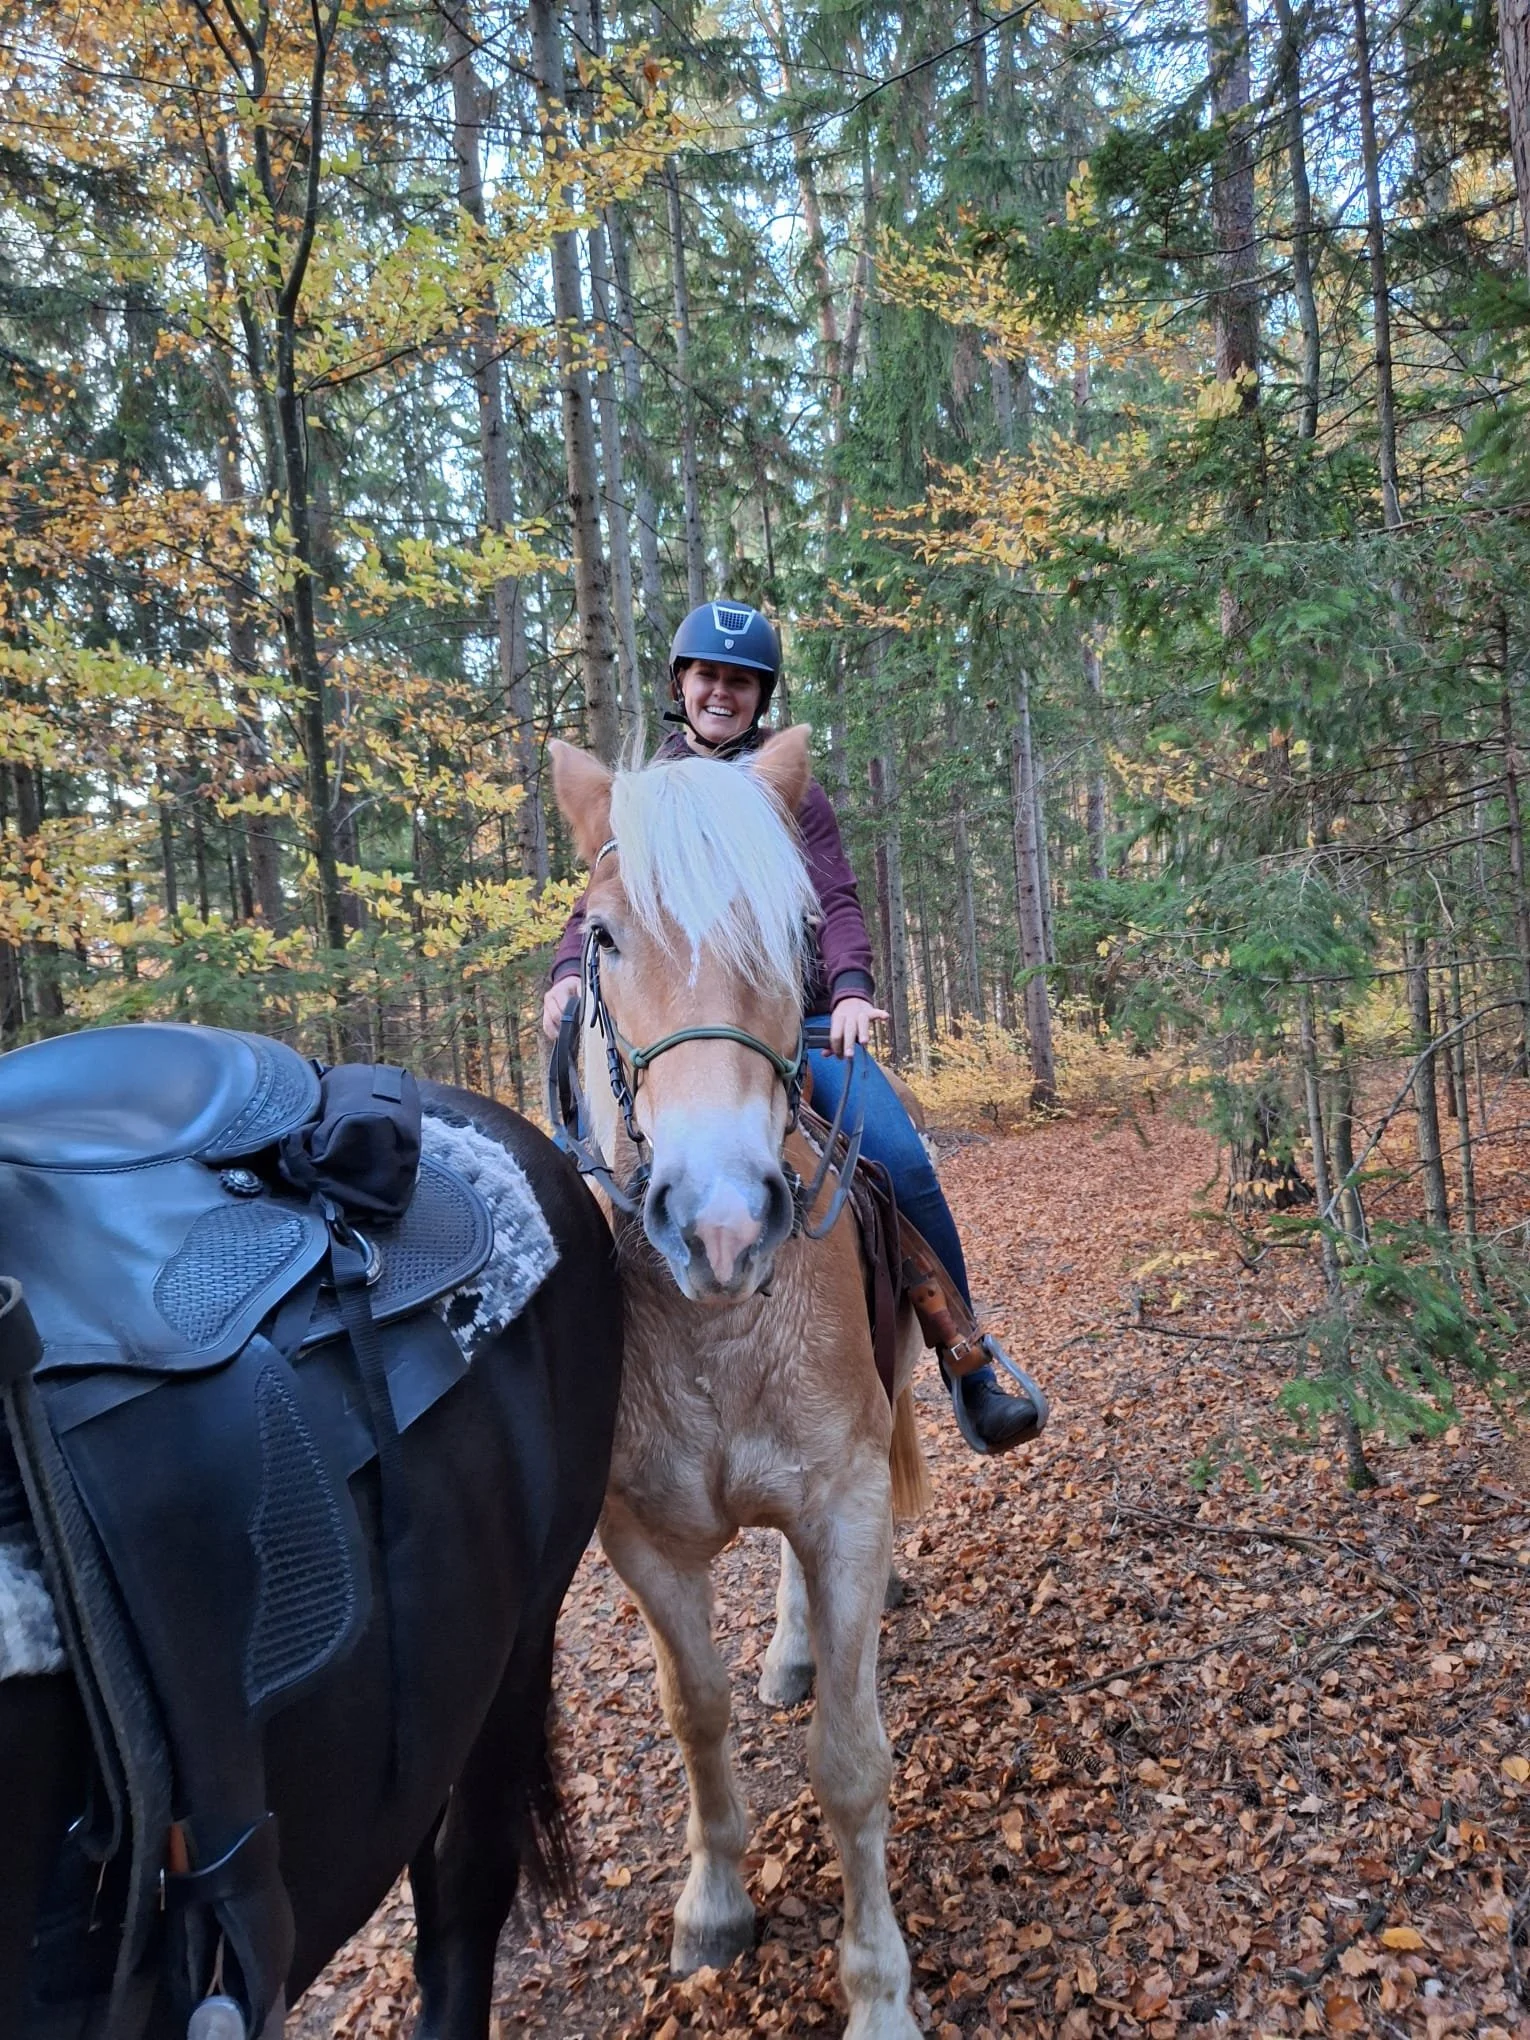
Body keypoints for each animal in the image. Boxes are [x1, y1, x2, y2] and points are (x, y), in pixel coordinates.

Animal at [549, 726, 930, 2040]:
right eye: (603, 936)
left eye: (802, 932)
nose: (719, 1221)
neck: (712, 1328)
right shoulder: (641, 1540)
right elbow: (694, 1712)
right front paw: (712, 1904)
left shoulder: (846, 1501)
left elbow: (852, 1764)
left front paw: (877, 1994)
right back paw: (792, 1651)